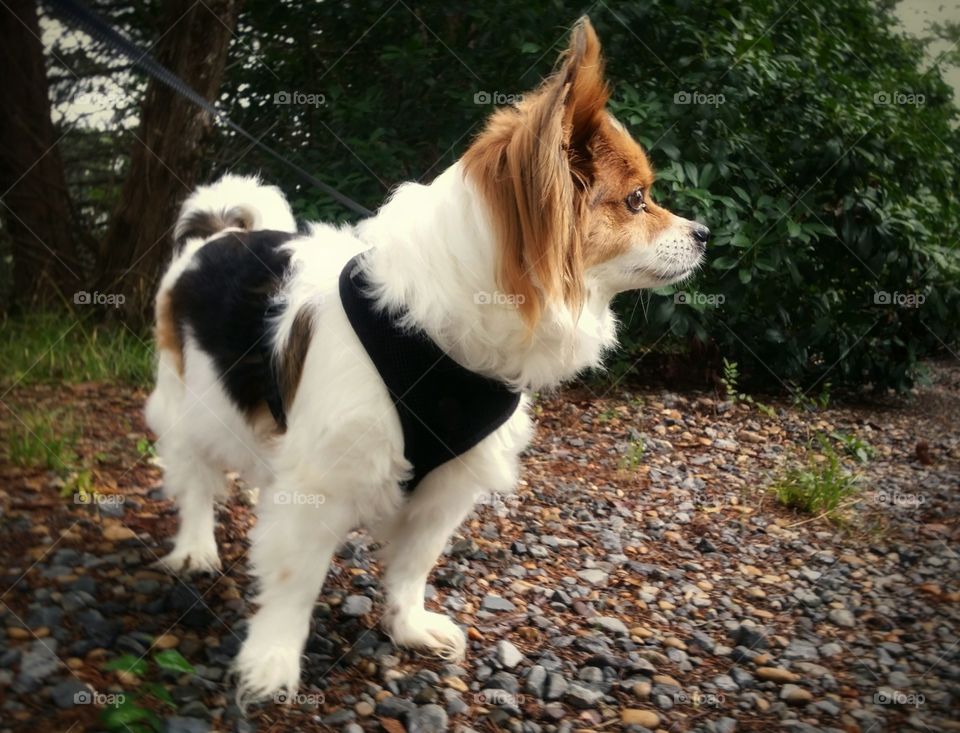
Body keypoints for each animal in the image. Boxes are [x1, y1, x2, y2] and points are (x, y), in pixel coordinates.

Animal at [146, 17, 708, 700]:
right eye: (636, 200)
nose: (705, 234)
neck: (438, 340)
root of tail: (220, 233)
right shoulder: (323, 480)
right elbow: (293, 582)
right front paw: (272, 662)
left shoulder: (447, 485)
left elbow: (412, 565)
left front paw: (408, 628)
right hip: (193, 402)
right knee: (194, 474)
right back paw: (197, 547)